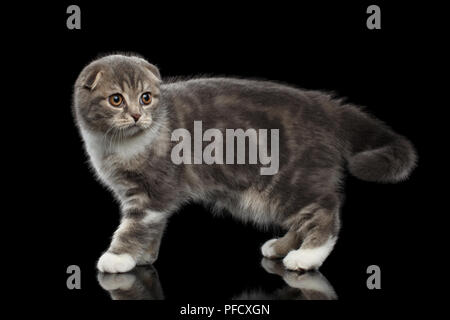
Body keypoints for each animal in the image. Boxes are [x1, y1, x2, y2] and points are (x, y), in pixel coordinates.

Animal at [73, 53, 414, 274]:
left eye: (146, 97)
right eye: (116, 99)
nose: (136, 115)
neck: (117, 144)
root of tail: (324, 106)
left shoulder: (153, 191)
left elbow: (134, 226)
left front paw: (118, 257)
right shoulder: (146, 196)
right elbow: (152, 226)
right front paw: (143, 256)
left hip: (291, 181)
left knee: (325, 211)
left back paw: (307, 257)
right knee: (304, 218)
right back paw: (281, 247)